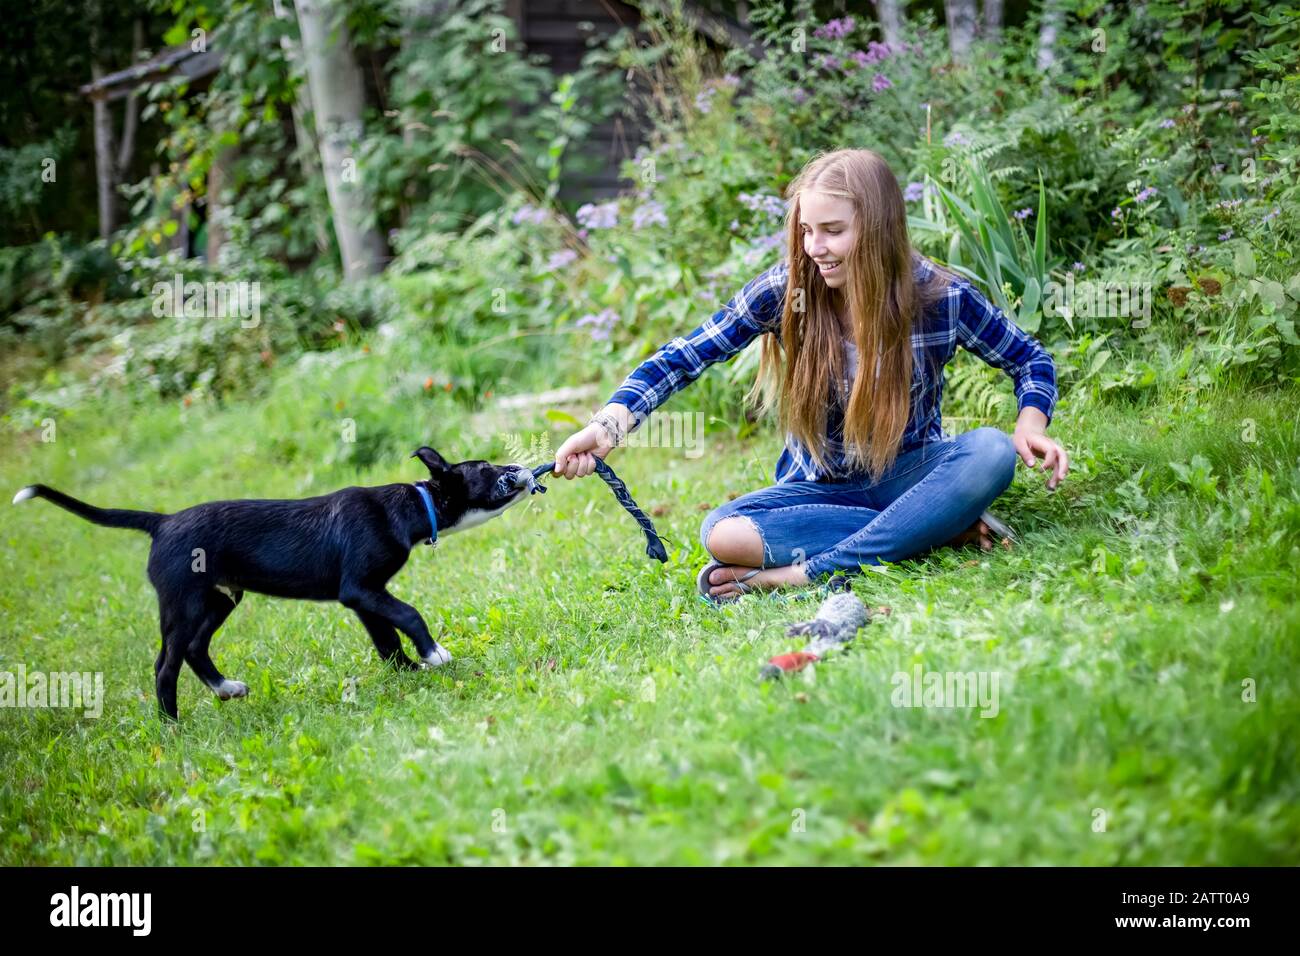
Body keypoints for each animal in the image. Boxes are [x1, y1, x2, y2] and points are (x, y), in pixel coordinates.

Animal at [12, 447, 530, 717]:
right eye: (486, 469)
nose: (518, 469)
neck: (408, 506)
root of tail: (161, 522)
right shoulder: (361, 589)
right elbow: (408, 614)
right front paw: (434, 654)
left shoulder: (363, 596)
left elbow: (386, 637)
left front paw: (406, 671)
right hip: (183, 602)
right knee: (165, 664)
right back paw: (171, 725)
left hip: (219, 599)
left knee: (195, 649)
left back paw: (225, 689)